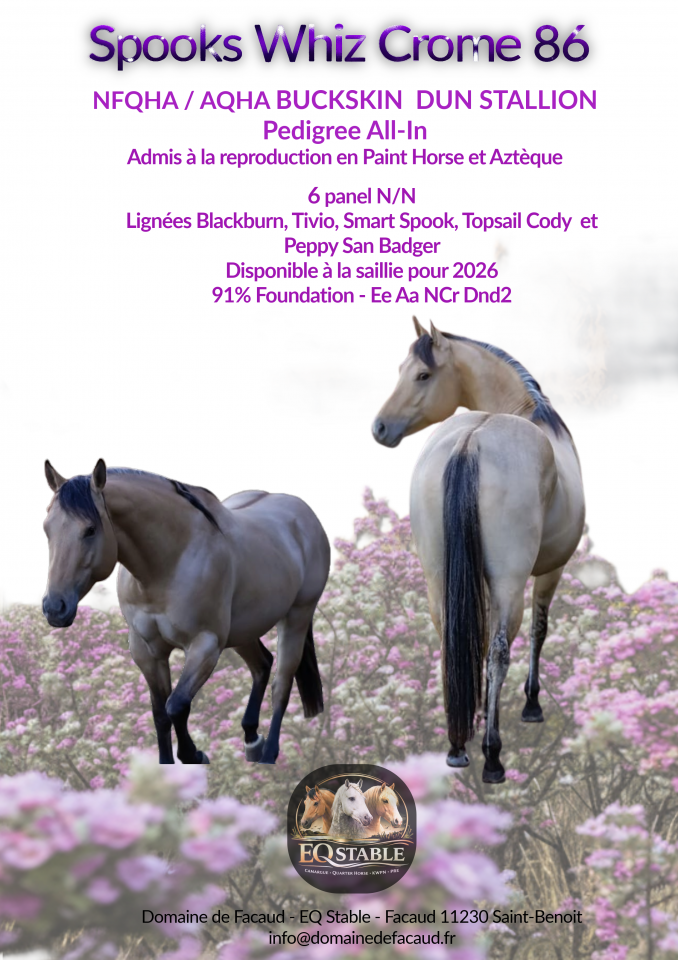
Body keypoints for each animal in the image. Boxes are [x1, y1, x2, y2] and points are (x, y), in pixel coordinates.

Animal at [42, 460, 330, 766]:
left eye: (90, 529)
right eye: (47, 528)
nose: (55, 608)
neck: (171, 561)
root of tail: (304, 514)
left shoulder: (205, 646)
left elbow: (176, 705)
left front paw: (193, 754)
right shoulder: (147, 652)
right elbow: (159, 714)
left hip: (296, 617)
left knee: (282, 685)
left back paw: (268, 755)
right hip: (242, 630)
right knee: (262, 664)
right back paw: (252, 741)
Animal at [372, 319, 585, 783]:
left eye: (421, 374)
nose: (379, 428)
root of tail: (471, 440)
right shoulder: (550, 571)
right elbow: (539, 631)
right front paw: (530, 705)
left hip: (439, 577)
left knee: (451, 639)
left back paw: (457, 744)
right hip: (509, 582)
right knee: (500, 650)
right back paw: (491, 755)